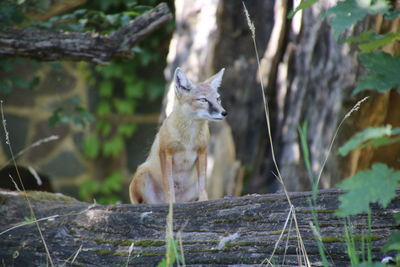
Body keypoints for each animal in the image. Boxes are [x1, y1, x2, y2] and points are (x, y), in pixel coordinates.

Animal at [130, 68, 227, 204]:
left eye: (218, 99)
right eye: (203, 100)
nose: (224, 113)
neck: (189, 138)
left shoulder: (202, 152)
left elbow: (203, 186)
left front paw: (204, 201)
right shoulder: (166, 153)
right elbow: (169, 185)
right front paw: (171, 203)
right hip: (142, 174)